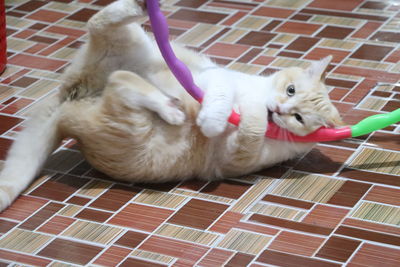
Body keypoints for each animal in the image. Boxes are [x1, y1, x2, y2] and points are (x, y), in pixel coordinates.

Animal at [0, 0, 344, 211]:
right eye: (290, 89)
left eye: (299, 118)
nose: (280, 111)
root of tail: (69, 97)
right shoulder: (214, 77)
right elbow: (224, 96)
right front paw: (218, 117)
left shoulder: (239, 156)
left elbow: (251, 128)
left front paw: (232, 118)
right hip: (133, 41)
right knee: (99, 22)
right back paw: (139, 7)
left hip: (129, 124)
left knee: (120, 82)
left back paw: (170, 106)